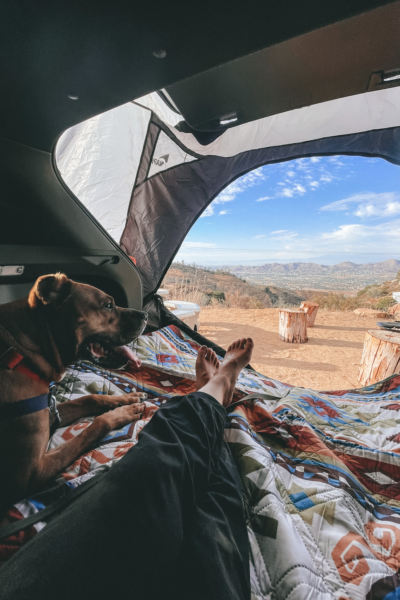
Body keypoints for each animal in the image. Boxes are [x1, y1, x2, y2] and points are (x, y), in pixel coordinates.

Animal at [0, 274, 148, 512]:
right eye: (108, 305)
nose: (145, 315)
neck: (23, 355)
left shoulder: (50, 412)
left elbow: (91, 397)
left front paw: (127, 398)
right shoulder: (31, 475)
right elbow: (94, 426)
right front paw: (122, 413)